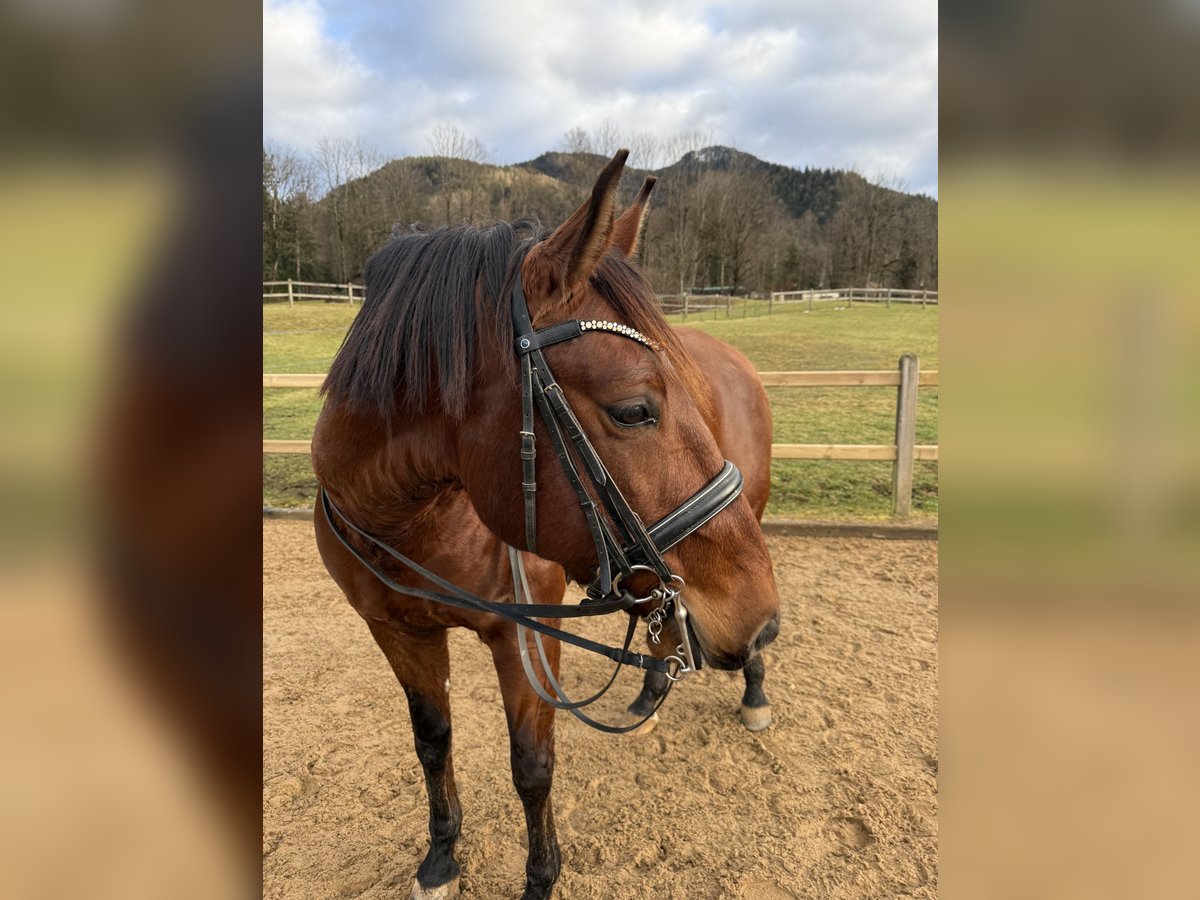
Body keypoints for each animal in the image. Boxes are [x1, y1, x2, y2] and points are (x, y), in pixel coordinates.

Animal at [312, 151, 777, 897]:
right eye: (634, 410)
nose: (757, 613)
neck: (410, 518)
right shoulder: (395, 630)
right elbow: (431, 741)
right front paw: (442, 854)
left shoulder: (524, 631)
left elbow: (531, 764)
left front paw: (540, 877)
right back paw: (655, 686)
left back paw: (755, 686)